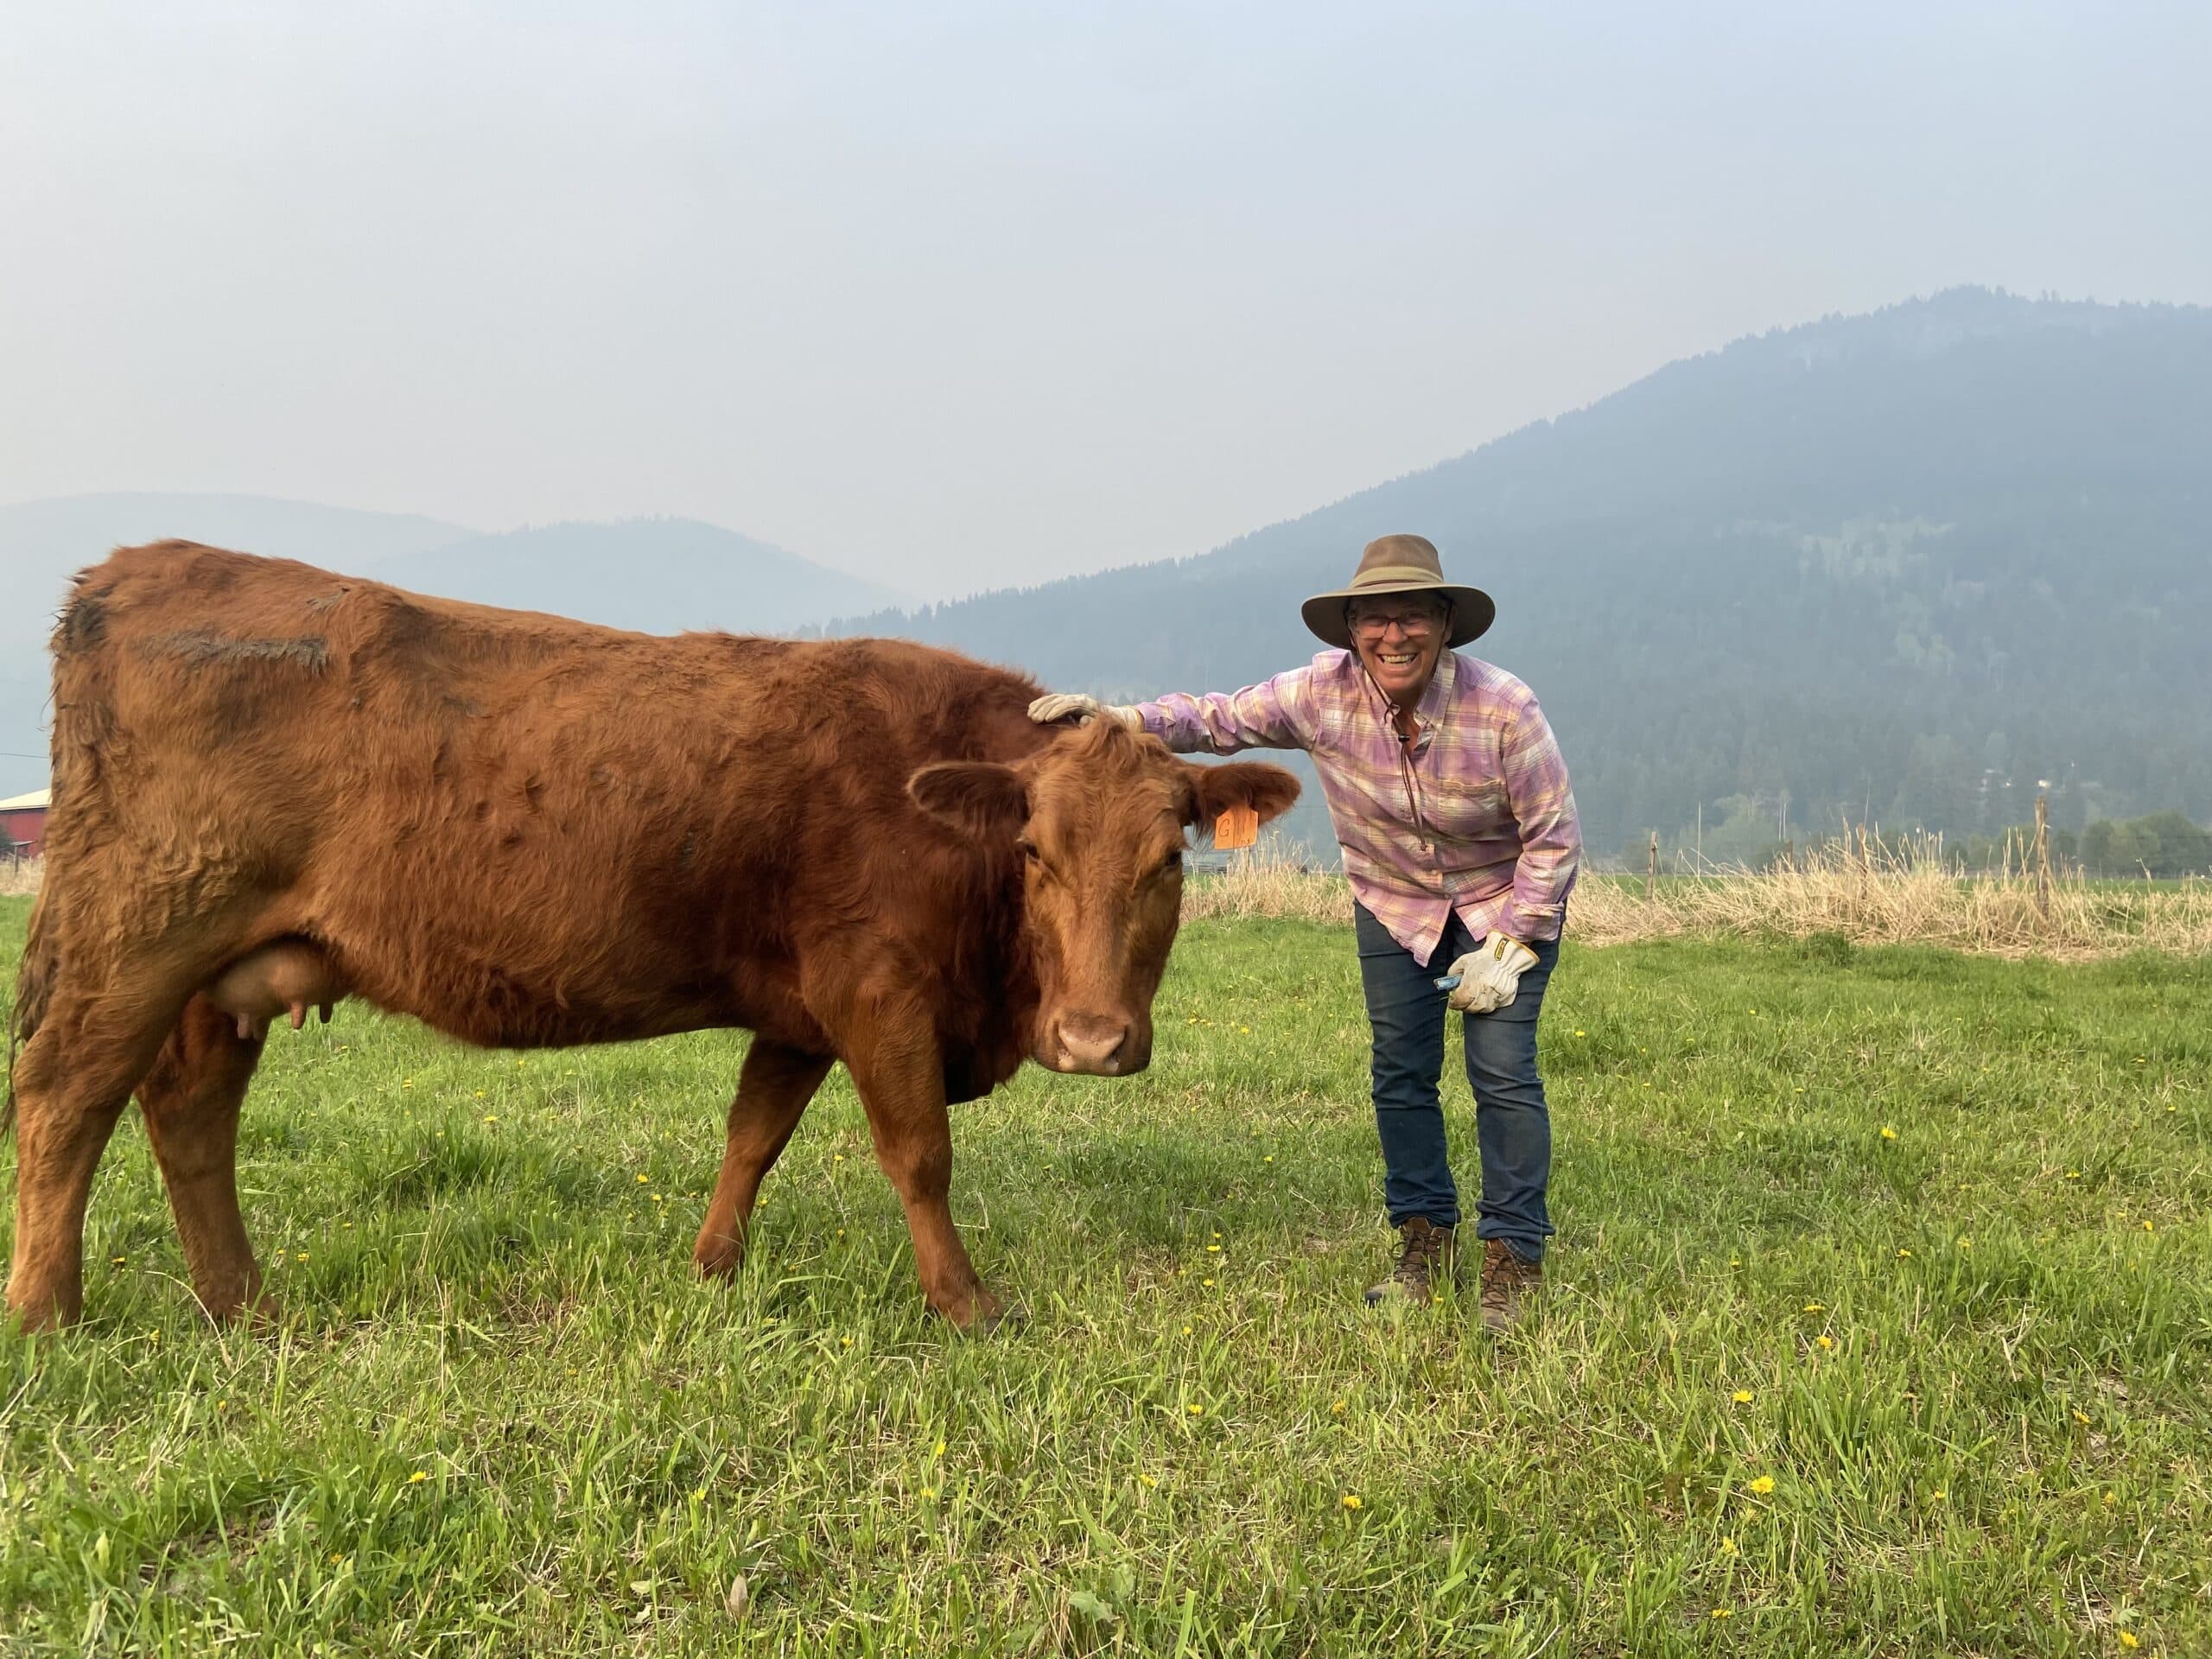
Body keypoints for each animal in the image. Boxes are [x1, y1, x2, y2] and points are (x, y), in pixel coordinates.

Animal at [4, 543, 1298, 1333]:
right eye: (1034, 853)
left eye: (1170, 858)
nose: (1093, 1040)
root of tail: (134, 572)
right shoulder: (876, 989)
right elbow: (918, 1153)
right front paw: (966, 1303)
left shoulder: (801, 1008)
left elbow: (753, 1136)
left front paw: (712, 1269)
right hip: (134, 942)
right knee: (66, 1101)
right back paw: (48, 1313)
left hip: (218, 974)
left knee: (188, 1113)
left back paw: (240, 1304)